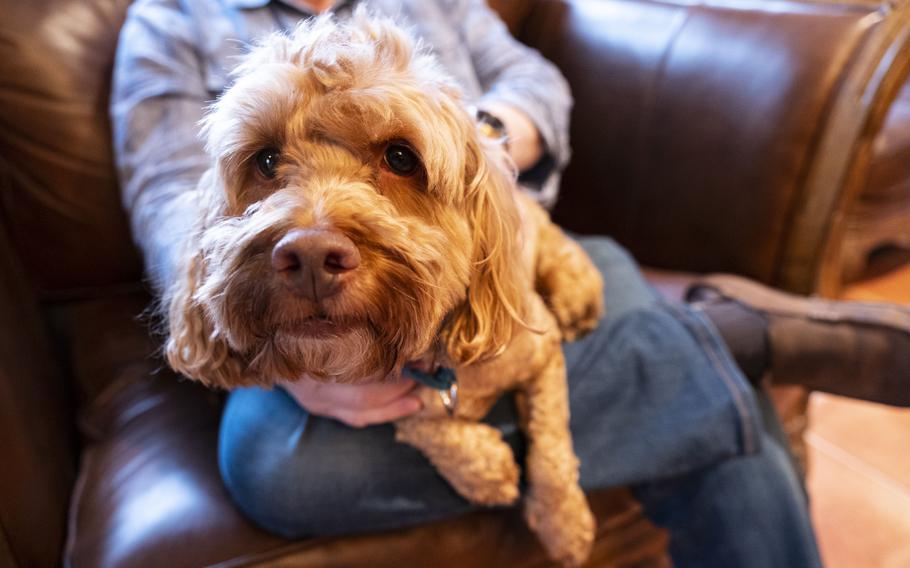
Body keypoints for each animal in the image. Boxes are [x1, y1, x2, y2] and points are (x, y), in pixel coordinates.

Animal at [166, 11, 604, 564]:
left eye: (400, 157)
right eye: (265, 160)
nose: (310, 257)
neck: (439, 364)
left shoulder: (541, 358)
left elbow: (551, 447)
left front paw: (563, 523)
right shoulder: (384, 399)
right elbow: (424, 425)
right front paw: (487, 471)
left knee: (557, 247)